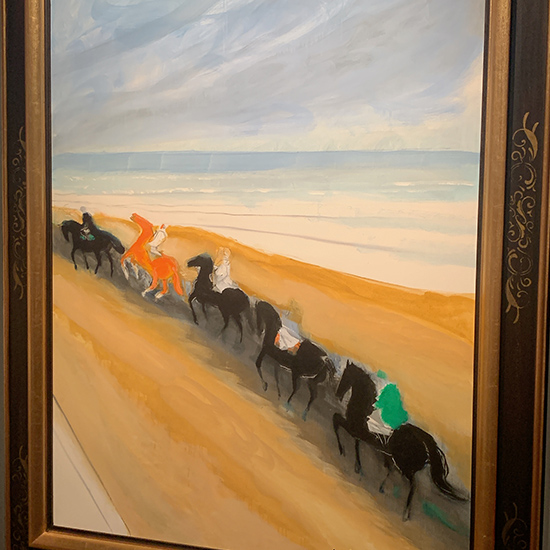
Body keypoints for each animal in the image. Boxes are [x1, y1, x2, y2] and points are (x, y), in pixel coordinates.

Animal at [333, 361, 467, 521]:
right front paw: (357, 466)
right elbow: (357, 445)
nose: (338, 394)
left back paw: (406, 513)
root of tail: (425, 443)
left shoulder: (353, 429)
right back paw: (385, 490)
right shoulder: (361, 436)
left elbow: (336, 421)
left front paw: (342, 451)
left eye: (347, 376)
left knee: (413, 485)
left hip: (405, 466)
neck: (363, 407)